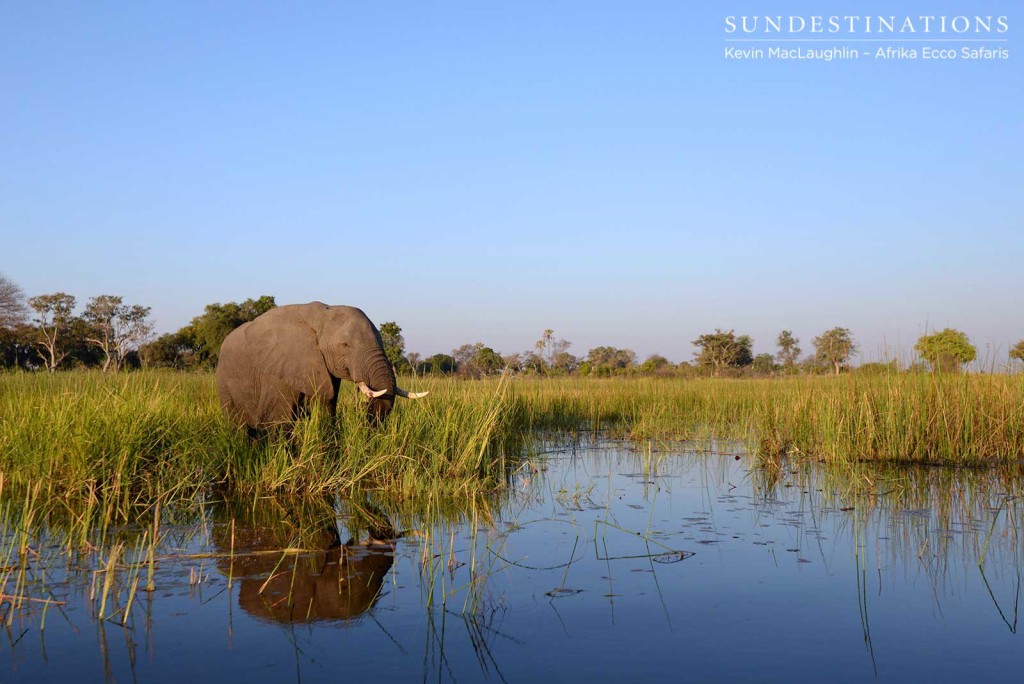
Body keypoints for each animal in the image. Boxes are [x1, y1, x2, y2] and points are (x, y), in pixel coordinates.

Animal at [214, 301, 425, 428]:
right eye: (345, 345)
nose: (362, 406)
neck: (322, 315)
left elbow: (325, 411)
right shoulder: (277, 370)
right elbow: (276, 421)